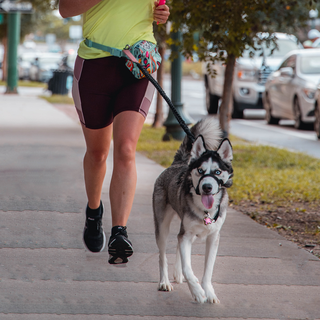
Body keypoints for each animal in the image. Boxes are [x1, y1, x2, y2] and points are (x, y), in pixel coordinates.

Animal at [152, 117, 232, 302]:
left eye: (218, 172)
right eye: (200, 170)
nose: (207, 187)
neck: (206, 211)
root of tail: (177, 163)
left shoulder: (213, 237)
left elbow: (208, 270)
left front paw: (209, 292)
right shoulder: (187, 235)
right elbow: (188, 268)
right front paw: (196, 291)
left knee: (177, 240)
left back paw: (176, 273)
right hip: (162, 226)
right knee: (163, 254)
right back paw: (164, 281)